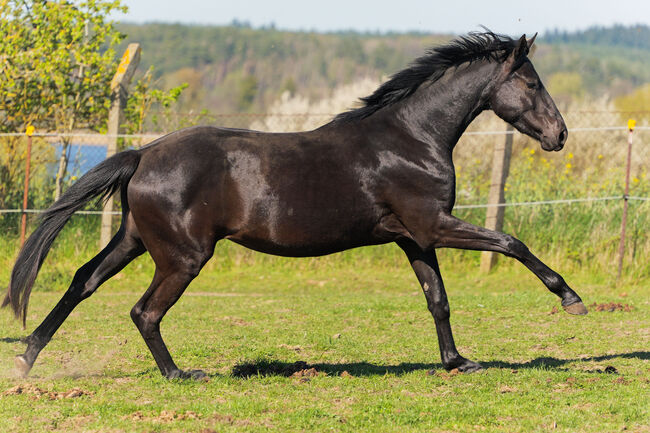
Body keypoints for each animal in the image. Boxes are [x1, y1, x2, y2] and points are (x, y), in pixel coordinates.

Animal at [3, 31, 587, 380]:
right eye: (531, 82)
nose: (559, 135)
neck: (412, 138)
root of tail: (142, 154)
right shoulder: (433, 224)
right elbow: (510, 242)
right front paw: (571, 299)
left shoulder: (413, 237)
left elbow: (438, 300)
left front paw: (458, 362)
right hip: (182, 257)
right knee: (143, 311)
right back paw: (179, 374)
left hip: (134, 240)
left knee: (83, 281)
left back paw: (26, 358)